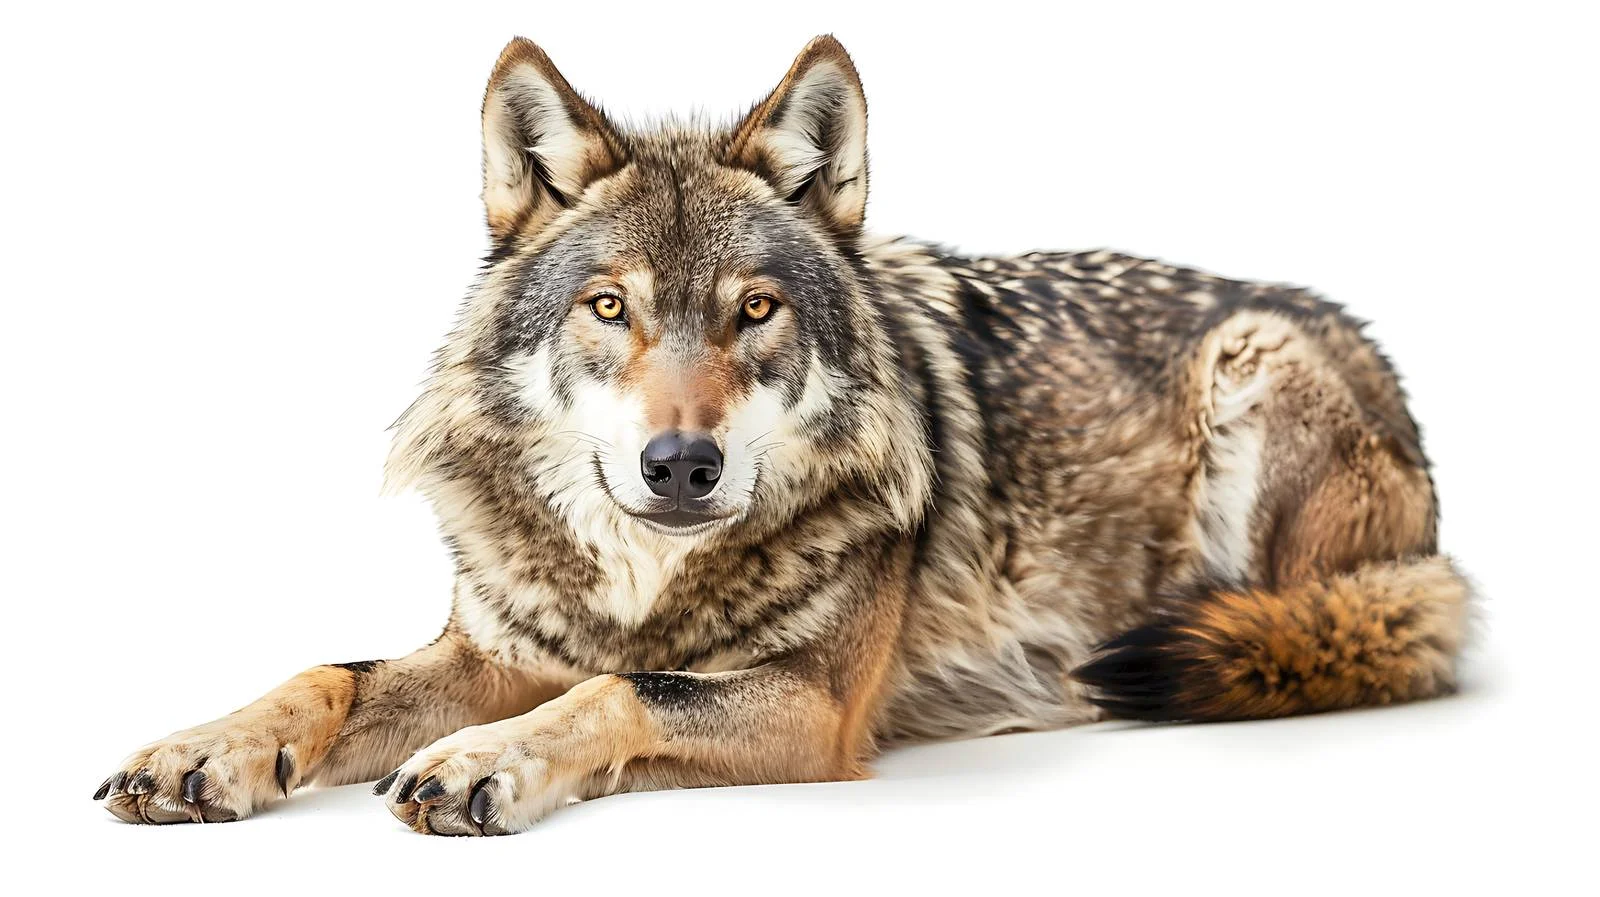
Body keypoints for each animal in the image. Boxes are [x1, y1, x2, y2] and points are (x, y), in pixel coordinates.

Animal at [94, 36, 1471, 835]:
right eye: (610, 308)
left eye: (753, 310)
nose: (680, 464)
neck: (646, 581)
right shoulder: (489, 648)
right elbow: (327, 672)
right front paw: (200, 748)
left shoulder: (810, 708)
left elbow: (618, 686)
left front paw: (489, 760)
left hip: (1254, 373)